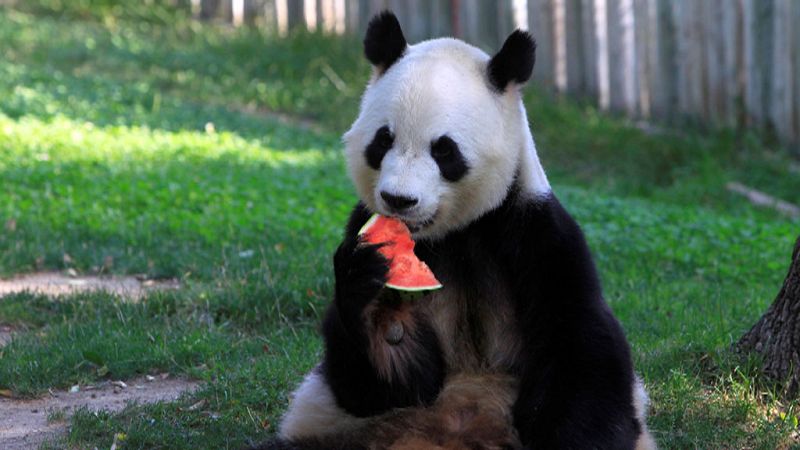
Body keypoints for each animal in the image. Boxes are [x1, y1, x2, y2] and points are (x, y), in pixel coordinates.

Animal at [256, 10, 656, 450]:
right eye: (383, 140)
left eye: (444, 150)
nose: (398, 200)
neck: (455, 232)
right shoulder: (360, 225)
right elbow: (386, 382)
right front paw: (370, 295)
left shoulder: (536, 234)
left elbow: (582, 347)